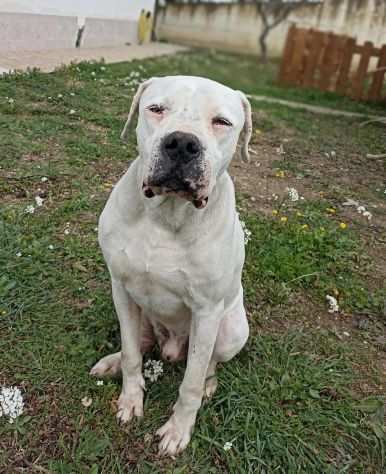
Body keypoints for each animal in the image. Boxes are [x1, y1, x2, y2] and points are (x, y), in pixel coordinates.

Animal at [91, 75, 253, 456]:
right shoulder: (121, 287)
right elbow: (133, 354)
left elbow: (190, 383)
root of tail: (171, 346)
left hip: (230, 330)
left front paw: (178, 430)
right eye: (156, 109)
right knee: (139, 342)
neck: (166, 214)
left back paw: (209, 383)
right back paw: (113, 361)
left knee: (208, 363)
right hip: (140, 314)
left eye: (222, 122)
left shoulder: (207, 312)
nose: (181, 143)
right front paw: (130, 399)